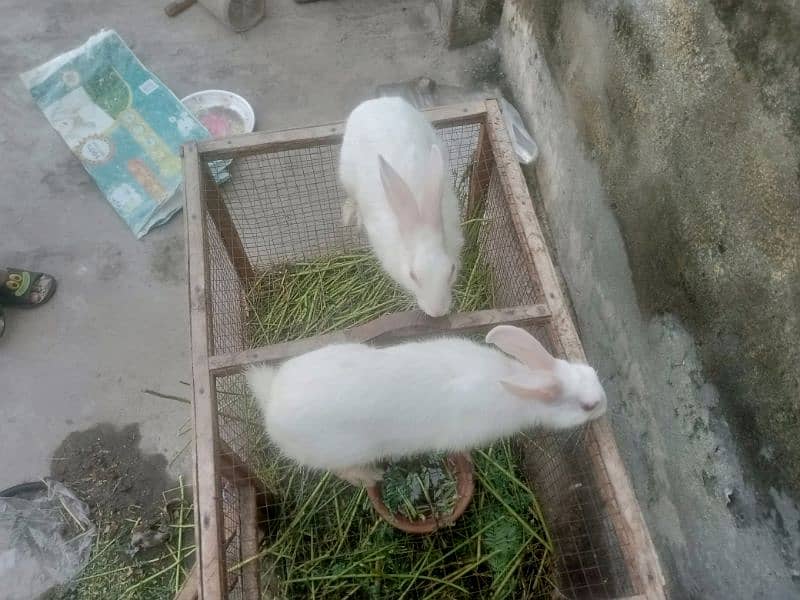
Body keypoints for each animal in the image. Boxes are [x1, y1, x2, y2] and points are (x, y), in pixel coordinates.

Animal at [247, 324, 604, 488]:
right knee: (342, 470)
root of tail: (271, 401)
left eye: (591, 371)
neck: (516, 383)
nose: (604, 406)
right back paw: (371, 476)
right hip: (341, 453)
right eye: (587, 406)